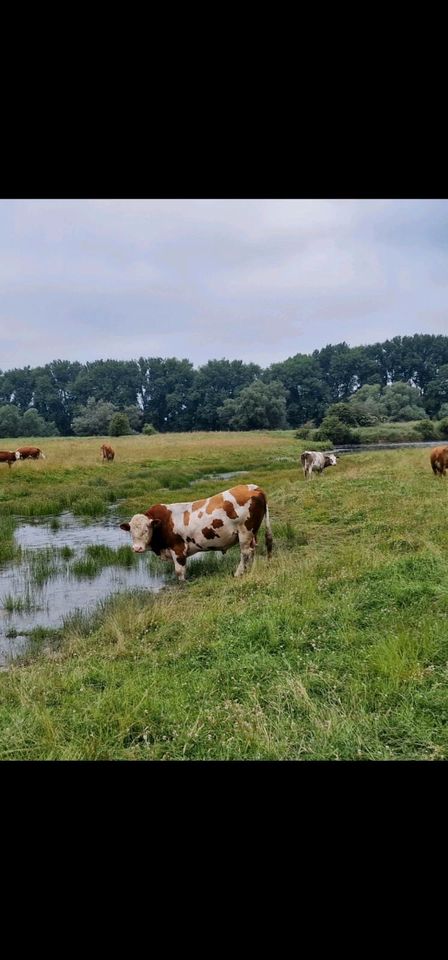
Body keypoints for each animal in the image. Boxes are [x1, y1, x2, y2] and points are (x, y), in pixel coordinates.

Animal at [120, 484, 272, 580]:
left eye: (146, 529)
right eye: (131, 532)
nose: (137, 548)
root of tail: (253, 487)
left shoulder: (178, 549)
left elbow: (180, 572)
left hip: (245, 532)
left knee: (245, 553)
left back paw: (238, 573)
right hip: (252, 534)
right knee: (252, 550)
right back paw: (250, 570)